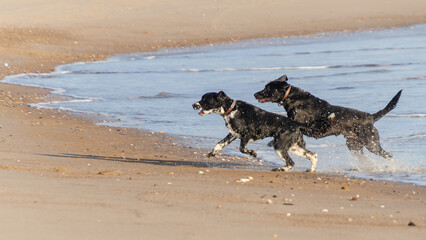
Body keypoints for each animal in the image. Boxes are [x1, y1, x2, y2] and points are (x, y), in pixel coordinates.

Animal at [191, 91, 324, 172]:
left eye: (205, 100)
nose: (193, 105)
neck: (232, 110)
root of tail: (297, 124)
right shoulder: (233, 134)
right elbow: (219, 144)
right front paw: (212, 153)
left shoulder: (246, 135)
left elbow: (242, 149)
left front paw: (253, 153)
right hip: (293, 147)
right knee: (313, 155)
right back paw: (311, 170)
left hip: (279, 146)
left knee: (291, 163)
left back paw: (280, 169)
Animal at [255, 74, 402, 161]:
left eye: (267, 88)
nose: (255, 94)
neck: (292, 98)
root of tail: (370, 117)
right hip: (353, 145)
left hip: (370, 143)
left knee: (388, 155)